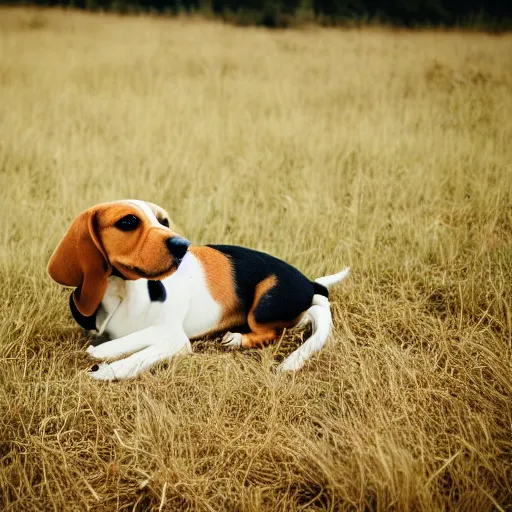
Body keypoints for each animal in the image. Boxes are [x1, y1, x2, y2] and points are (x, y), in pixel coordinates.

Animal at [47, 200, 348, 380]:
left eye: (163, 221)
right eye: (128, 222)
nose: (183, 245)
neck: (121, 292)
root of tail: (309, 282)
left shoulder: (174, 338)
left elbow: (136, 350)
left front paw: (105, 366)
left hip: (263, 305)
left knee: (281, 327)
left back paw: (238, 339)